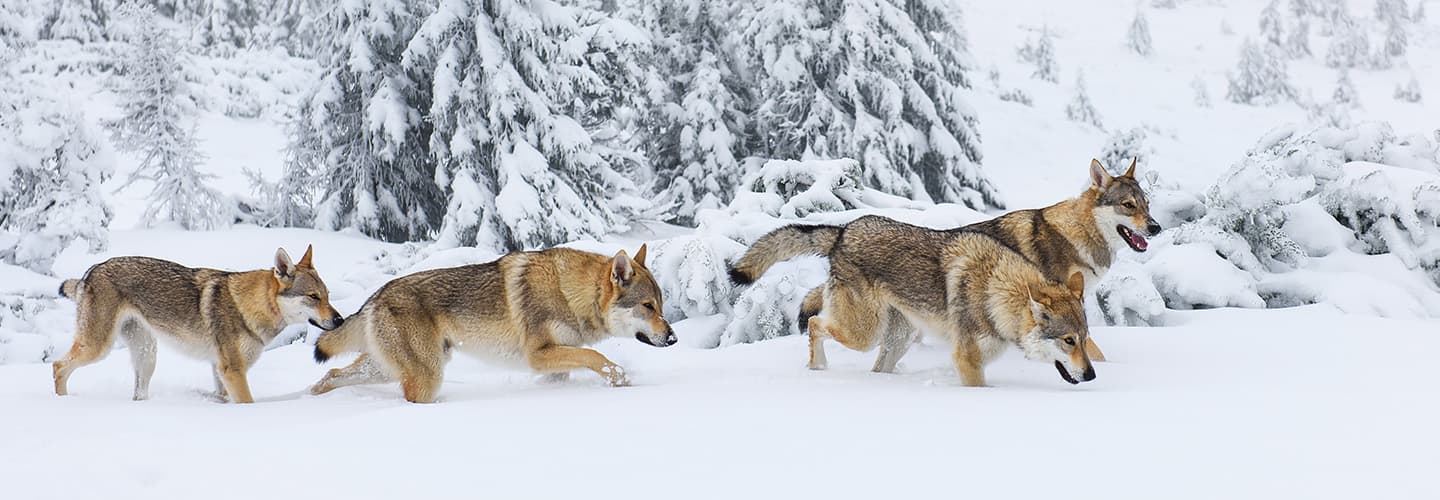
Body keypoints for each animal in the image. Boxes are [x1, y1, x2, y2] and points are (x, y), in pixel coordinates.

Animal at [52, 244, 345, 406]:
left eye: (328, 296)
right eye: (313, 297)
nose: (340, 320)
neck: (248, 306)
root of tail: (91, 271)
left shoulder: (219, 370)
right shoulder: (232, 371)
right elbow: (247, 403)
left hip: (147, 356)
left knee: (137, 393)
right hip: (98, 348)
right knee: (57, 367)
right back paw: (62, 404)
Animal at [309, 244, 673, 406]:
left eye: (662, 306)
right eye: (648, 306)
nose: (672, 338)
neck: (570, 293)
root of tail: (374, 297)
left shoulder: (555, 361)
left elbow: (578, 364)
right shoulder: (538, 355)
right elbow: (596, 357)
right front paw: (621, 379)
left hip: (385, 369)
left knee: (331, 374)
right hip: (427, 377)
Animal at [731, 159, 1157, 368]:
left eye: (1147, 204)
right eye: (1127, 206)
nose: (1156, 226)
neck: (1075, 235)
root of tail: (844, 230)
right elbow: (1091, 349)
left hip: (896, 334)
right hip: (866, 331)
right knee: (817, 325)